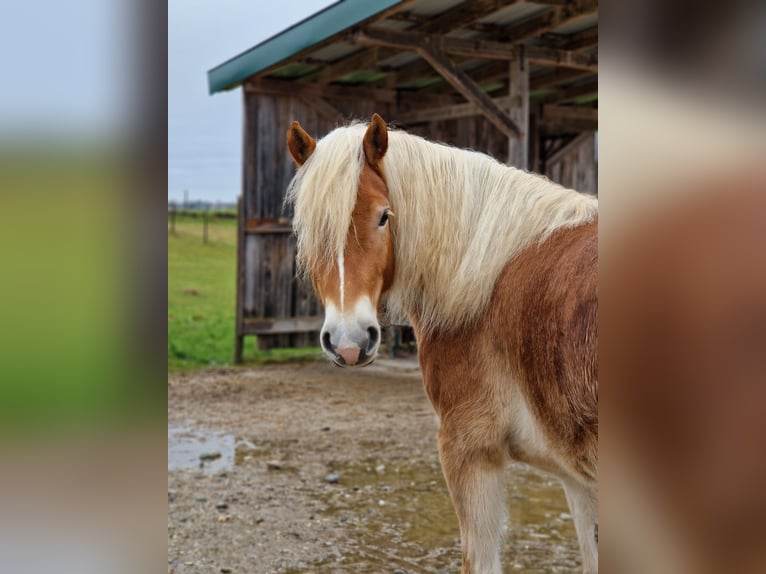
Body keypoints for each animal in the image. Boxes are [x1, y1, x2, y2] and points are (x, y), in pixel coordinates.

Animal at [286, 115, 600, 572]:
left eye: (384, 217)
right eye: (309, 226)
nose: (349, 342)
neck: (485, 287)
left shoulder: (469, 453)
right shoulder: (578, 481)